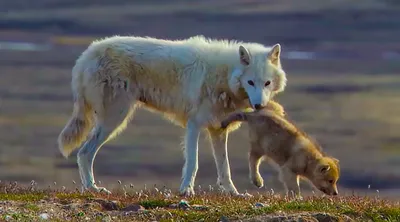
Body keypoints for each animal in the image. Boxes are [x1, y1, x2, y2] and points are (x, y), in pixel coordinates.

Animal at [57, 34, 288, 196]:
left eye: (267, 83)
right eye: (250, 82)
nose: (259, 105)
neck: (224, 75)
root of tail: (86, 55)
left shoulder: (218, 129)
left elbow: (225, 168)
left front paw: (233, 193)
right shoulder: (194, 125)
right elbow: (193, 162)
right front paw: (186, 190)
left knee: (84, 152)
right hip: (114, 120)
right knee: (84, 153)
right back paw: (92, 189)